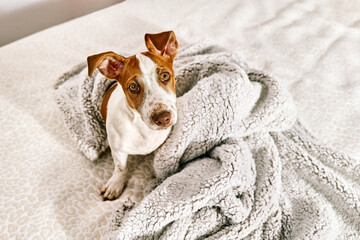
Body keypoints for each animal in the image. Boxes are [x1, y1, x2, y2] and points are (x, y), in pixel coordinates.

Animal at [86, 31, 179, 201]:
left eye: (164, 76)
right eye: (133, 86)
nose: (163, 118)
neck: (142, 127)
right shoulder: (117, 150)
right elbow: (121, 167)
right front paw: (115, 183)